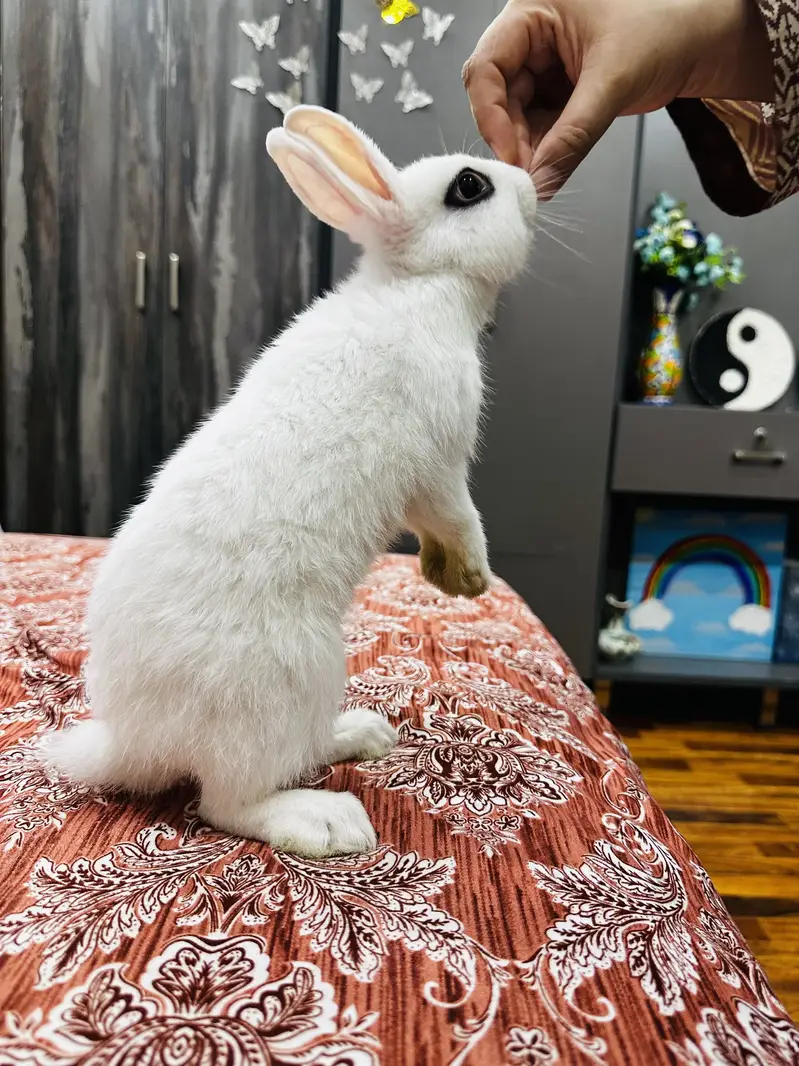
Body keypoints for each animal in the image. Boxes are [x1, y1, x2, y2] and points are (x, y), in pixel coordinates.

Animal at [42, 106, 537, 857]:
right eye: (470, 187)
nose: (530, 184)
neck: (415, 286)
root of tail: (134, 741)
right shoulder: (440, 464)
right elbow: (457, 517)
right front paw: (469, 578)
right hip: (288, 684)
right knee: (228, 802)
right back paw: (327, 820)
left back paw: (362, 733)